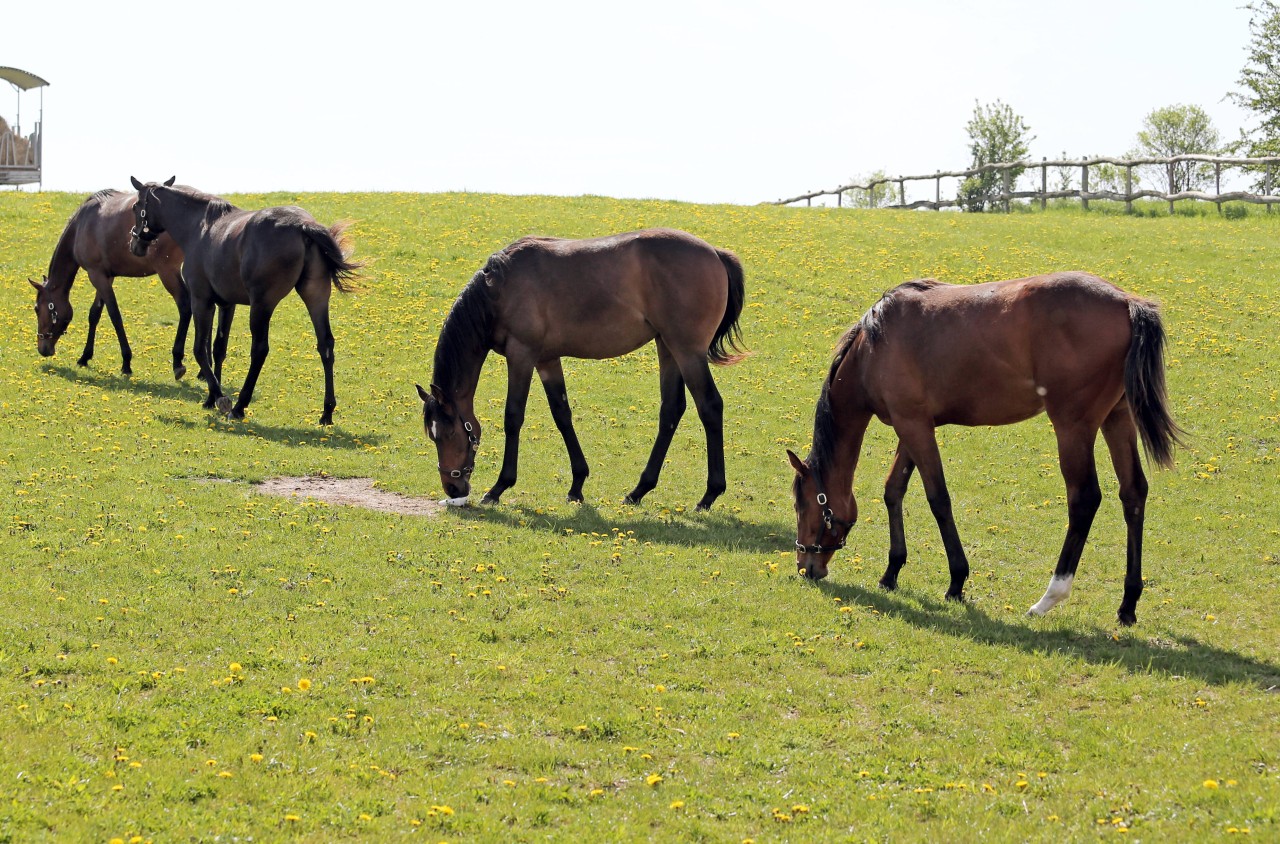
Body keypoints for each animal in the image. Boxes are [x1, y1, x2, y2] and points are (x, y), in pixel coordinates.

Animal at [30, 189, 235, 384]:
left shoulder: (97, 275)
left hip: (167, 272)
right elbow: (94, 314)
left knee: (185, 307)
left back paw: (178, 361)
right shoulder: (105, 276)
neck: (82, 224)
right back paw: (203, 371)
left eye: (37, 309)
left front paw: (126, 362)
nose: (43, 349)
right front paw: (85, 356)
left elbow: (114, 316)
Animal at [127, 179, 360, 430]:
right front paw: (210, 398)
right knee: (325, 345)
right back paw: (327, 412)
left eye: (136, 207)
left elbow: (200, 349)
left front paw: (220, 398)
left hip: (261, 306)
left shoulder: (201, 301)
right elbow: (218, 349)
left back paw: (239, 406)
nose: (134, 243)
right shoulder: (226, 305)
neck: (200, 228)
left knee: (259, 349)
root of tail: (303, 225)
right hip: (315, 297)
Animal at [414, 224, 747, 512]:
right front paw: (577, 485)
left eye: (446, 433)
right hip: (667, 347)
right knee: (671, 410)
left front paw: (499, 488)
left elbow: (513, 417)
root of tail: (715, 253)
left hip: (687, 351)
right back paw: (639, 490)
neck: (499, 288)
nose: (452, 489)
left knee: (709, 406)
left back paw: (709, 495)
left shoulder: (521, 355)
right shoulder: (546, 360)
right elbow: (562, 414)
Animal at [783, 272, 1182, 627]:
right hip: (1117, 419)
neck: (874, 346)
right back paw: (1128, 604)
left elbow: (938, 499)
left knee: (1084, 499)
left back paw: (1049, 598)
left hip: (1073, 428)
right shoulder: (913, 425)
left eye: (803, 504)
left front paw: (956, 581)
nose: (805, 566)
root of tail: (1127, 302)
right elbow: (893, 490)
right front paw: (892, 570)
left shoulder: (913, 425)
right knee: (1133, 494)